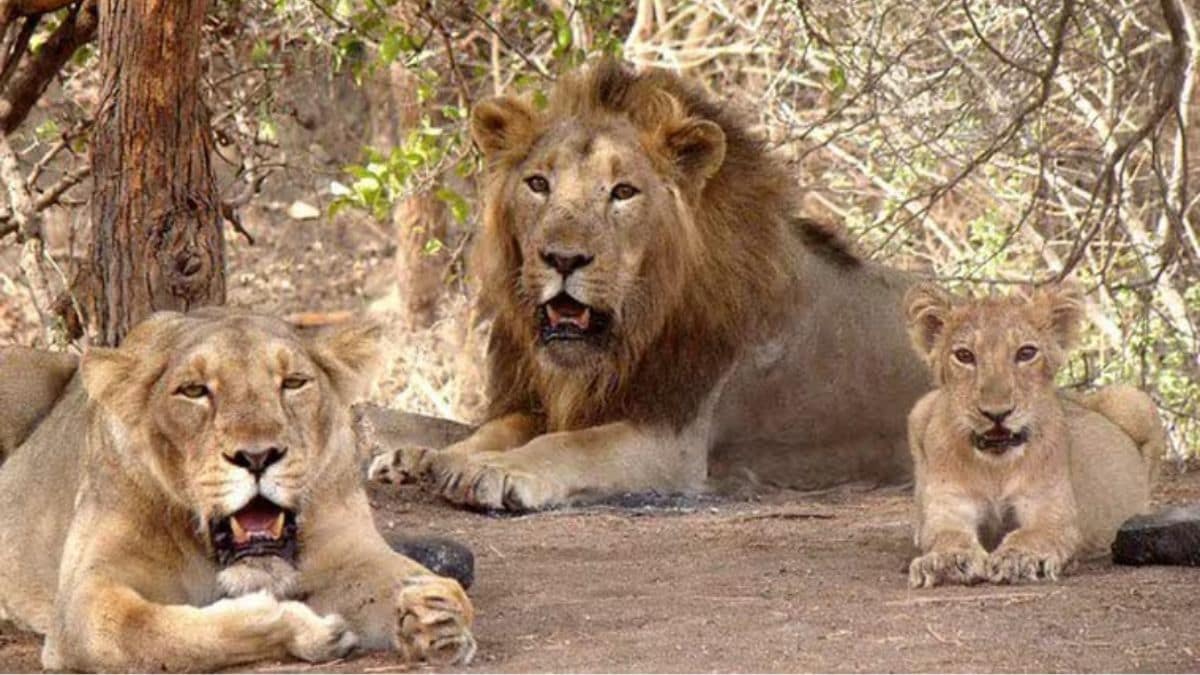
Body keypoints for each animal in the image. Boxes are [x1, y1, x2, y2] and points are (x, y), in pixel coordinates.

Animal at [0, 309, 476, 671]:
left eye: (293, 383)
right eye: (194, 391)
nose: (258, 456)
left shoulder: (349, 552)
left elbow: (405, 579)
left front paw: (438, 614)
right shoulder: (83, 598)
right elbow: (157, 634)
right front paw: (303, 628)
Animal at [368, 59, 930, 511]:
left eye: (623, 192)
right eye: (538, 184)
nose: (563, 258)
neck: (631, 332)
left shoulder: (673, 440)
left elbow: (572, 445)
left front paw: (494, 470)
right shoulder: (548, 401)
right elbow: (497, 428)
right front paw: (428, 457)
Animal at [904, 283, 1162, 587]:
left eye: (1026, 353)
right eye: (964, 356)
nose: (997, 413)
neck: (996, 467)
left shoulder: (1052, 512)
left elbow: (1031, 534)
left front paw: (1020, 559)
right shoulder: (949, 507)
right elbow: (947, 535)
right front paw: (946, 560)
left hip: (1134, 399)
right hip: (920, 408)